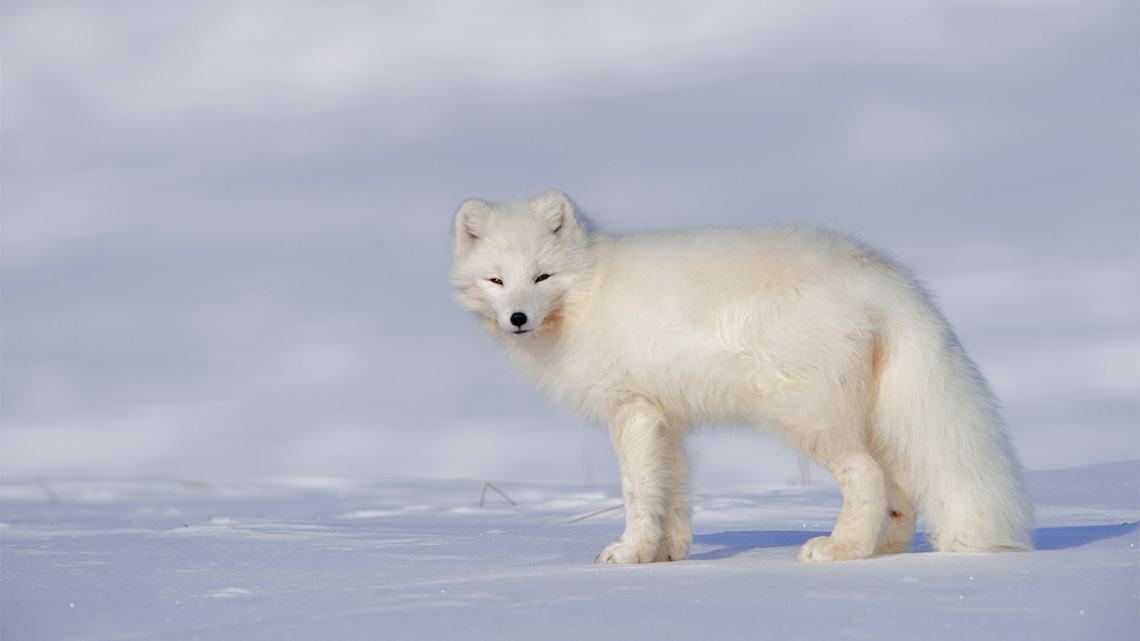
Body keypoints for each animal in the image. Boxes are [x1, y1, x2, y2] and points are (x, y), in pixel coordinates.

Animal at [450, 190, 1033, 564]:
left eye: (541, 277)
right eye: (496, 280)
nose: (517, 318)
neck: (588, 293)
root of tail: (880, 274)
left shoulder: (631, 410)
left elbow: (639, 491)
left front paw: (629, 553)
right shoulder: (665, 418)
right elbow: (674, 489)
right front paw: (669, 553)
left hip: (808, 415)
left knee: (865, 475)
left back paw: (841, 550)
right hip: (870, 415)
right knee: (900, 487)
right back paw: (883, 547)